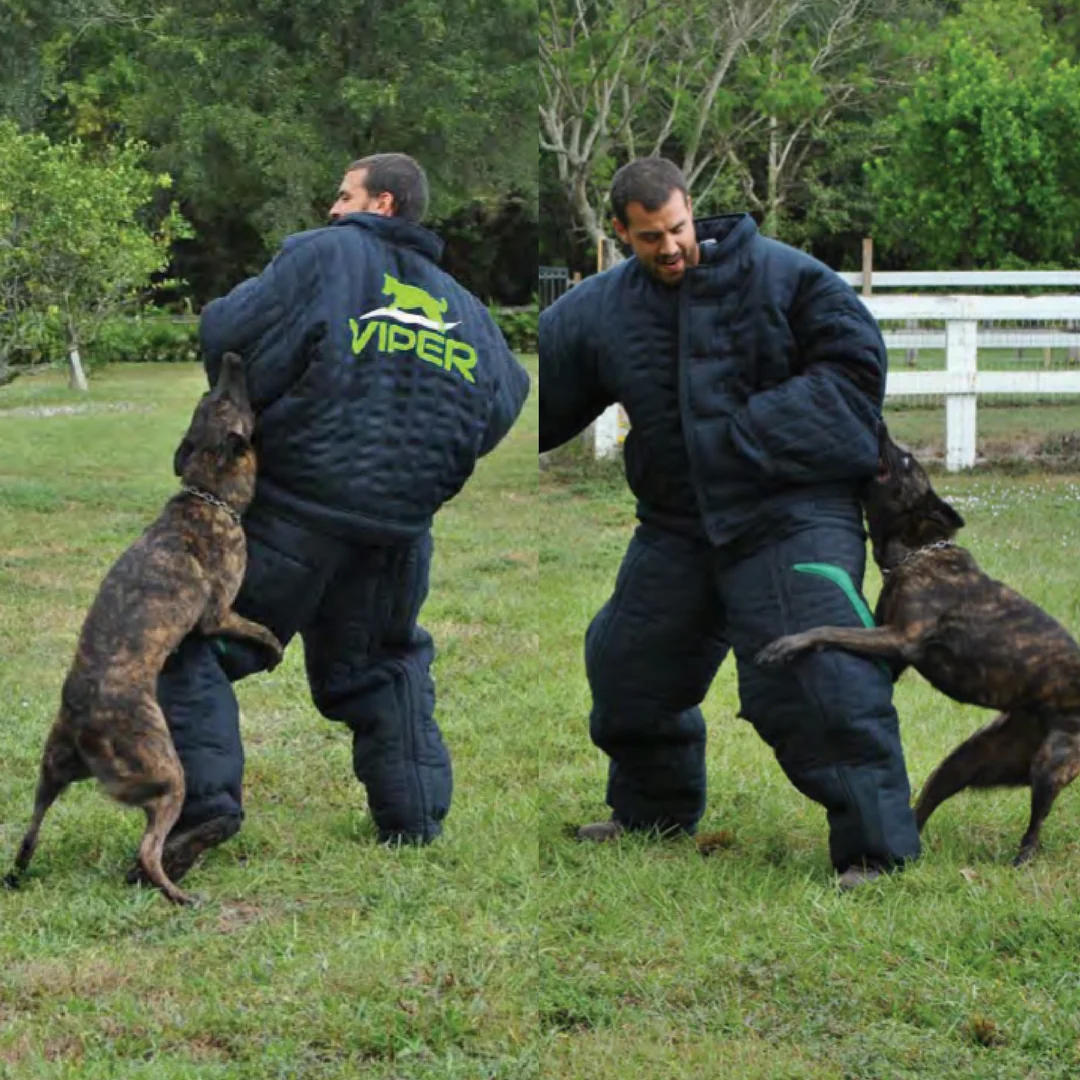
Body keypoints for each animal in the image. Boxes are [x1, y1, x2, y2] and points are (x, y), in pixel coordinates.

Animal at [3, 354, 282, 902]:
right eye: (224, 399)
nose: (233, 358)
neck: (207, 494)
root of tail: (81, 726)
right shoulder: (220, 612)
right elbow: (259, 628)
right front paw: (275, 648)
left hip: (50, 774)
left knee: (30, 831)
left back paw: (20, 872)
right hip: (167, 773)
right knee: (149, 849)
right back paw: (176, 892)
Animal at [756, 425, 1080, 864]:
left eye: (906, 460)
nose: (879, 426)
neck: (916, 552)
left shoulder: (900, 639)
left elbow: (828, 629)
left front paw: (788, 644)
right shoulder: (890, 650)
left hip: (1050, 762)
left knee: (1036, 823)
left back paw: (1023, 859)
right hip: (967, 761)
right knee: (925, 804)